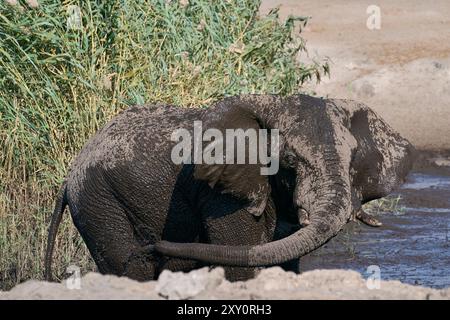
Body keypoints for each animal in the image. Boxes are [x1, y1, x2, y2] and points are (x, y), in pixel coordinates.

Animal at [45, 94, 414, 282]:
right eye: (290, 160)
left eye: (354, 159)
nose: (154, 246)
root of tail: (69, 174)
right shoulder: (219, 193)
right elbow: (241, 256)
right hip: (98, 202)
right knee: (127, 268)